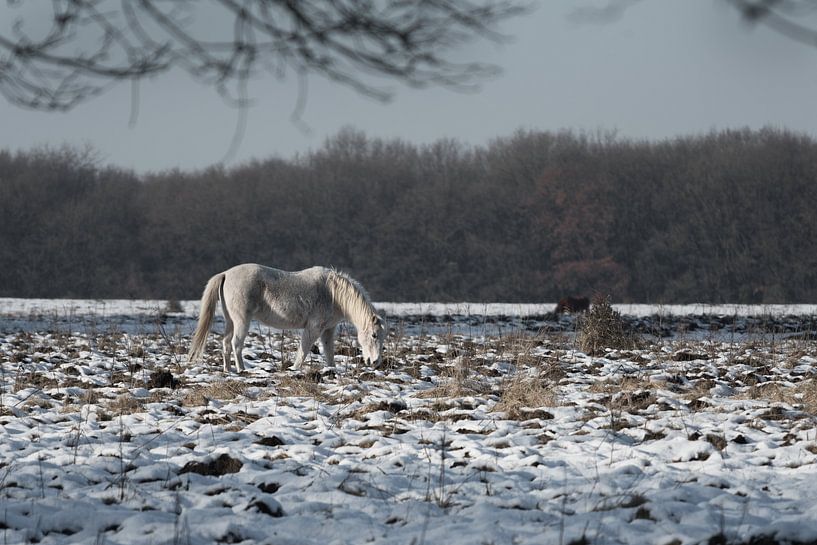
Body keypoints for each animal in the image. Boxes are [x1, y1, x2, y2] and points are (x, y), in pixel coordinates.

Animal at [187, 263, 385, 373]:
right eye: (374, 335)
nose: (375, 362)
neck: (333, 294)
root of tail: (226, 274)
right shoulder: (313, 328)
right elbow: (303, 350)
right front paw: (295, 369)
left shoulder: (328, 330)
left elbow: (329, 352)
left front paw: (331, 370)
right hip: (242, 321)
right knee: (236, 344)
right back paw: (242, 369)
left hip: (230, 321)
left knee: (226, 344)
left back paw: (228, 370)